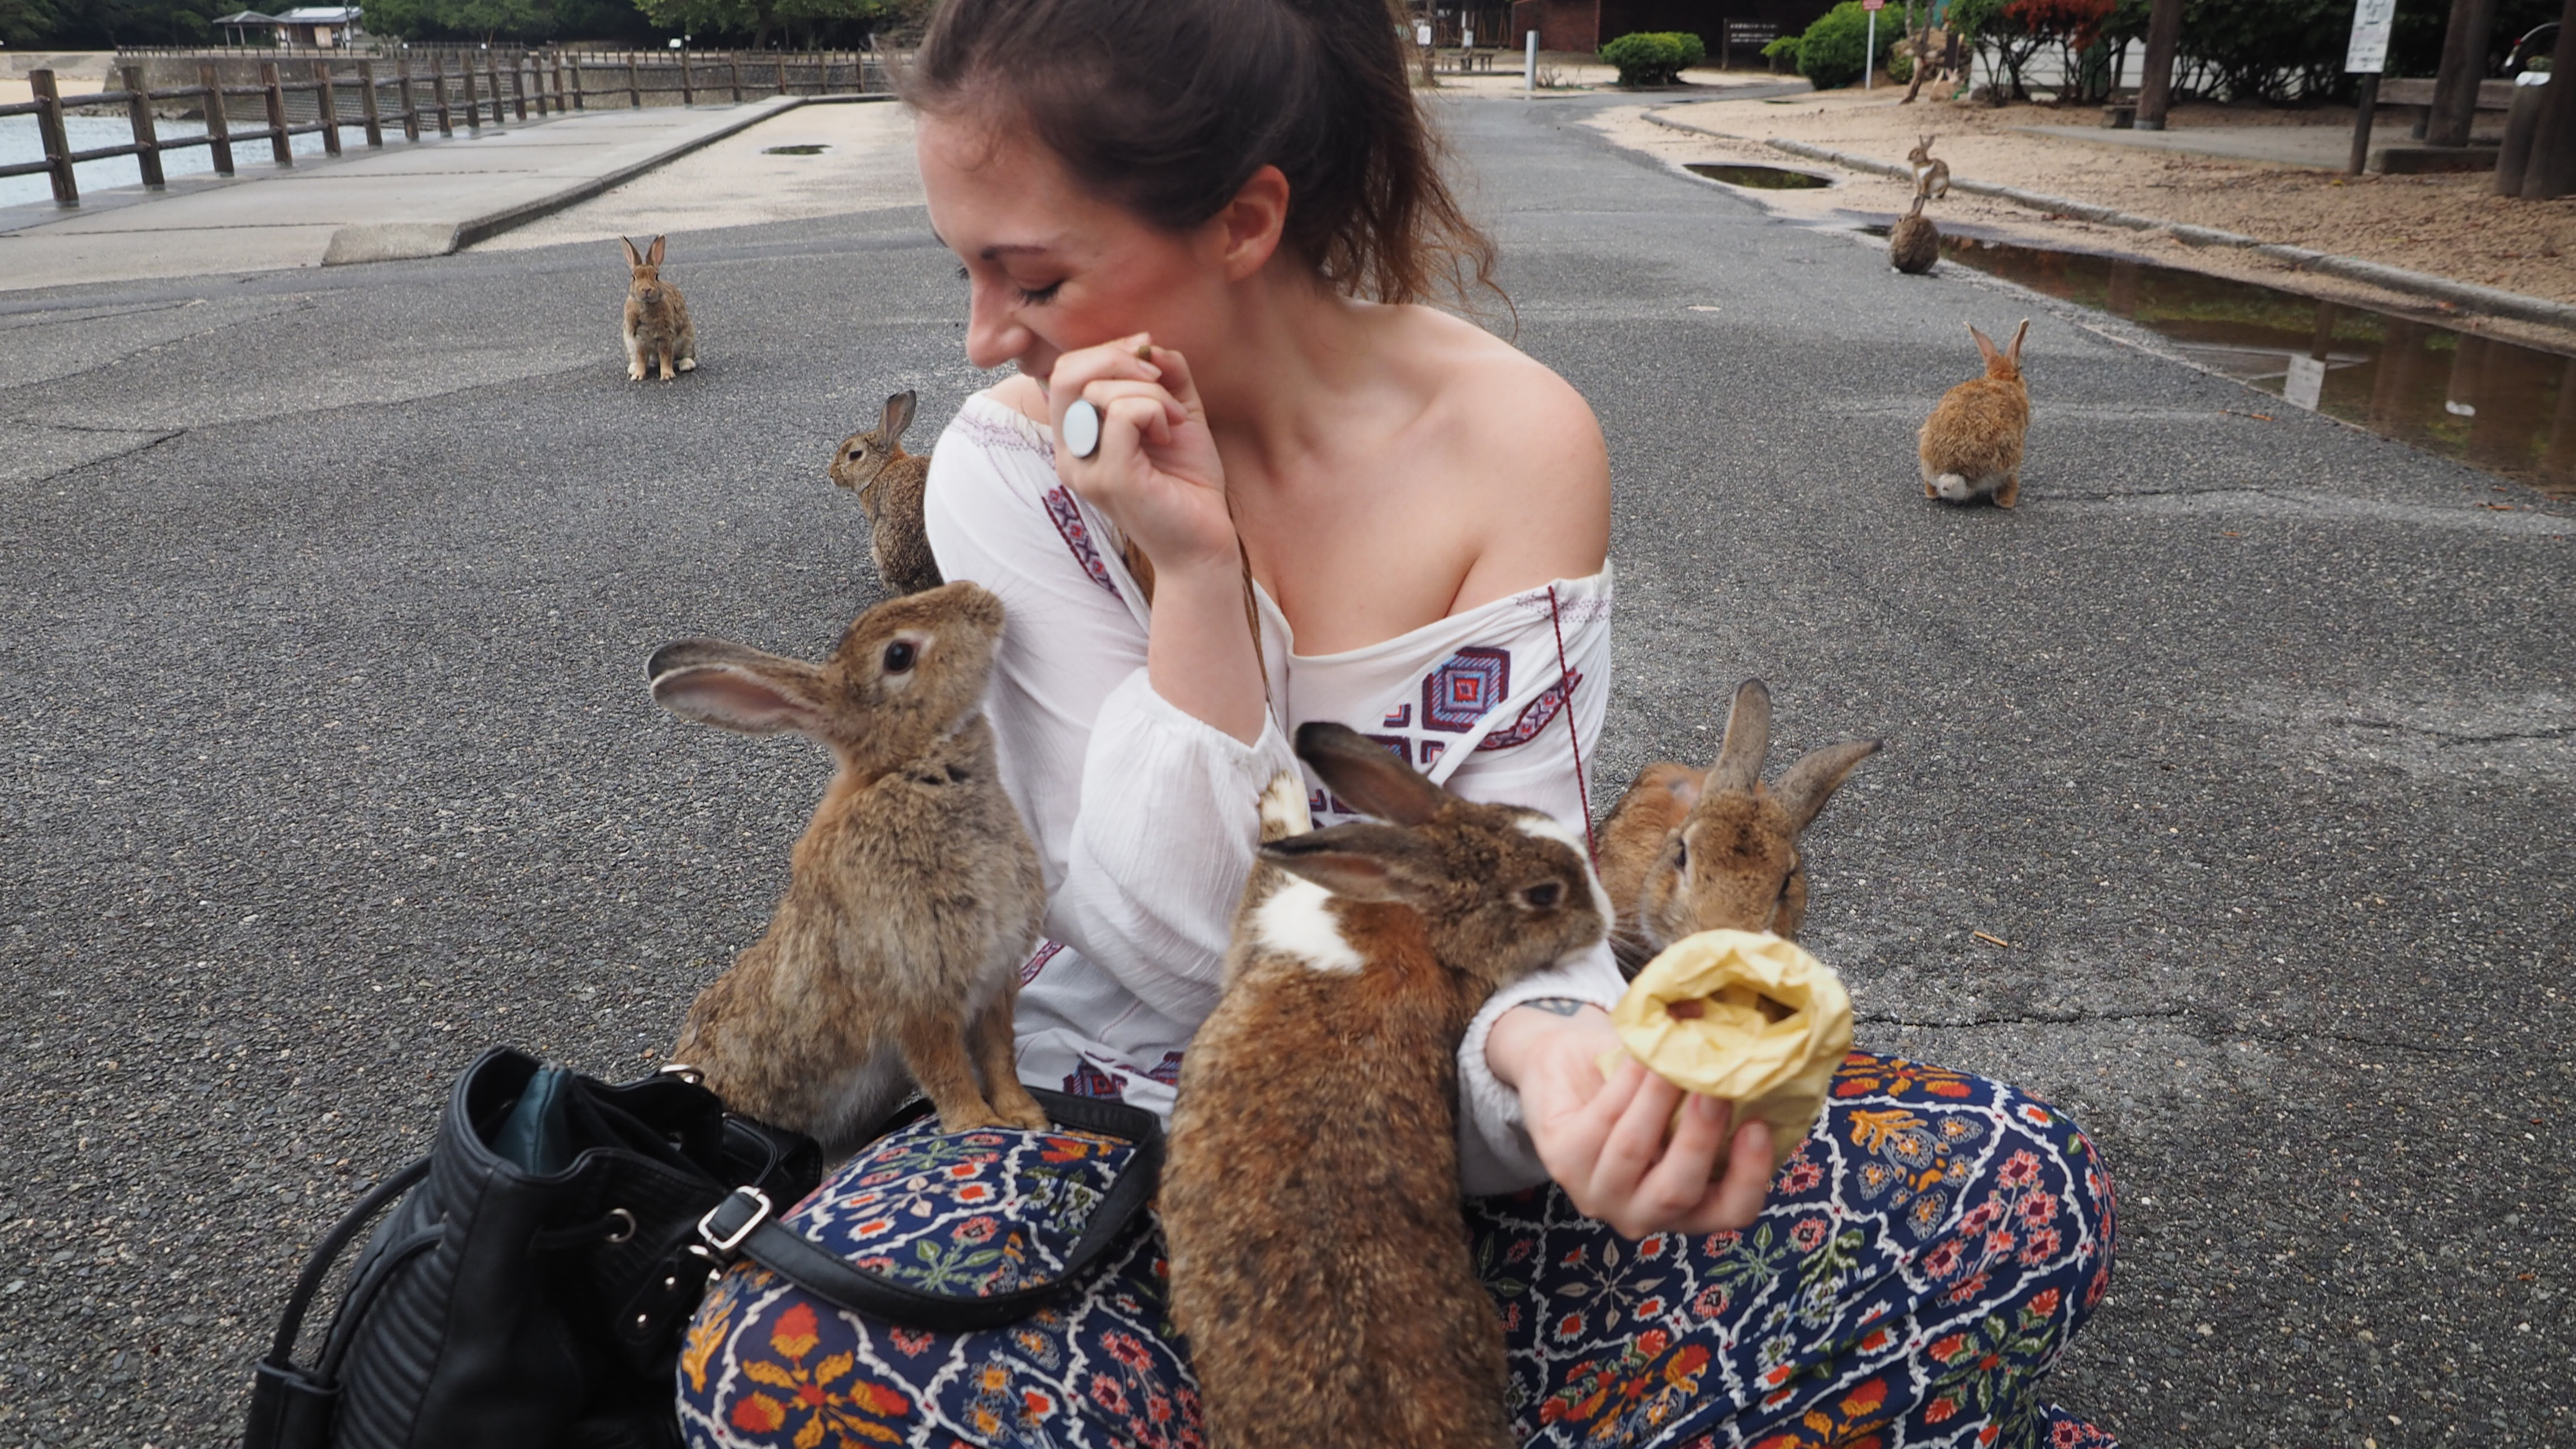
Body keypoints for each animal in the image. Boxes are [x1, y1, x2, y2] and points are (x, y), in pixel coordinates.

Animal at [620, 235, 697, 383]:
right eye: (634, 277)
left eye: (656, 276)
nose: (646, 289)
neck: (646, 305)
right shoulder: (638, 340)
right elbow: (641, 359)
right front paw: (638, 376)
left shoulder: (665, 336)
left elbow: (666, 356)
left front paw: (667, 375)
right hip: (628, 343)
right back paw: (633, 369)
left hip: (688, 339)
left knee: (687, 355)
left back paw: (686, 365)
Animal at [648, 580, 1049, 1155]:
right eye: (899, 655)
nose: (979, 596)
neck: (908, 769)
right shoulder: (914, 996)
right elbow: (948, 1072)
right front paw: (974, 1129)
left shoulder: (996, 980)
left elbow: (999, 1055)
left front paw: (1026, 1116)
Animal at [1164, 722, 1609, 1449]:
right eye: (1545, 893)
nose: (1604, 923)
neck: (1425, 921)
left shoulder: (1258, 920)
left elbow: (1265, 868)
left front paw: (1279, 795)